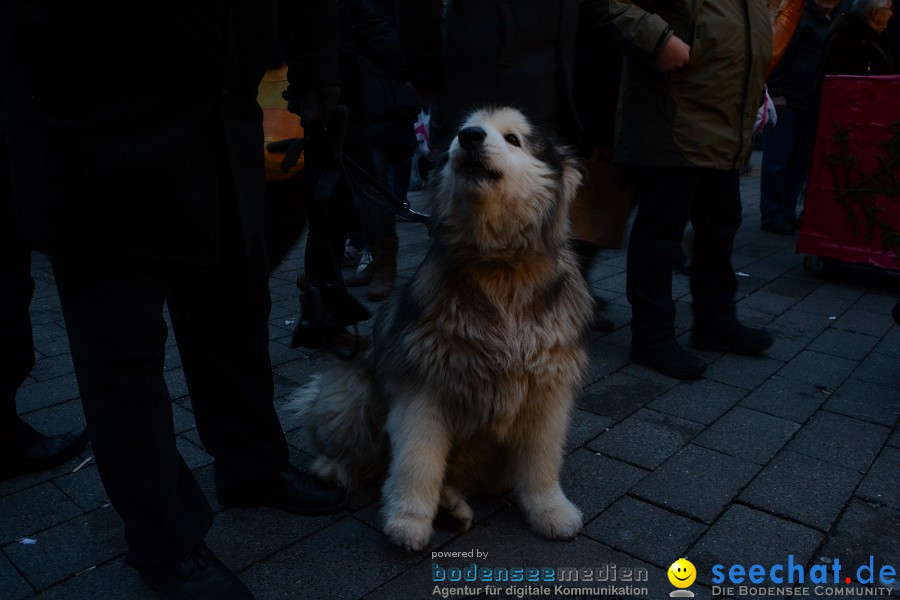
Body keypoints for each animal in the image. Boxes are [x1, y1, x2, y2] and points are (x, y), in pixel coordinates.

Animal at [292, 106, 596, 548]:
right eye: (460, 130)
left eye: (514, 139)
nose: (469, 137)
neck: (498, 266)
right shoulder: (424, 388)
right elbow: (417, 462)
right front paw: (408, 520)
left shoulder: (546, 392)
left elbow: (541, 462)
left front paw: (551, 511)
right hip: (350, 393)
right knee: (363, 454)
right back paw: (333, 471)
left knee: (446, 477)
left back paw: (452, 507)